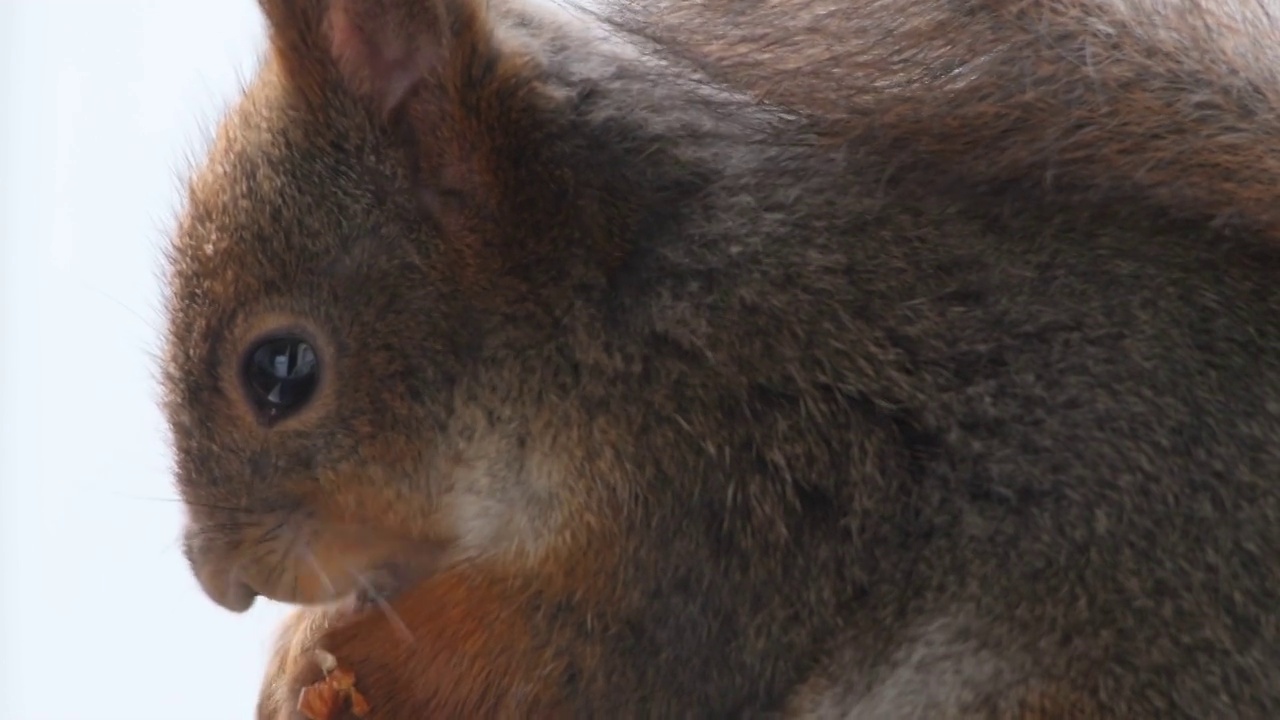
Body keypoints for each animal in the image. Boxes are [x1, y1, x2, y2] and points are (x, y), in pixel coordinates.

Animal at [162, 0, 1280, 712]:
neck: (598, 299)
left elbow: (580, 663)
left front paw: (325, 660)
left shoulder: (729, 482)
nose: (219, 580)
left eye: (281, 372)